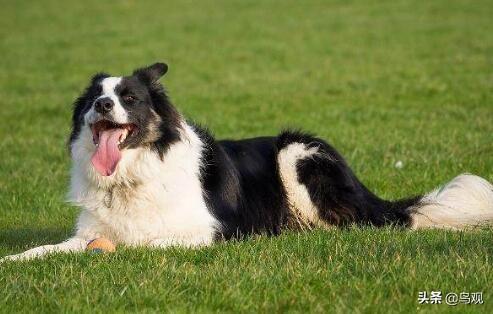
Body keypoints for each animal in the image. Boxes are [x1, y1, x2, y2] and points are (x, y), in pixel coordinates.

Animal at [3, 62, 492, 262]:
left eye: (129, 98)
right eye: (94, 99)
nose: (103, 105)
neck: (133, 176)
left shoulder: (211, 231)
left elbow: (143, 243)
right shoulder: (88, 232)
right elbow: (48, 249)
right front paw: (15, 261)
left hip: (297, 152)